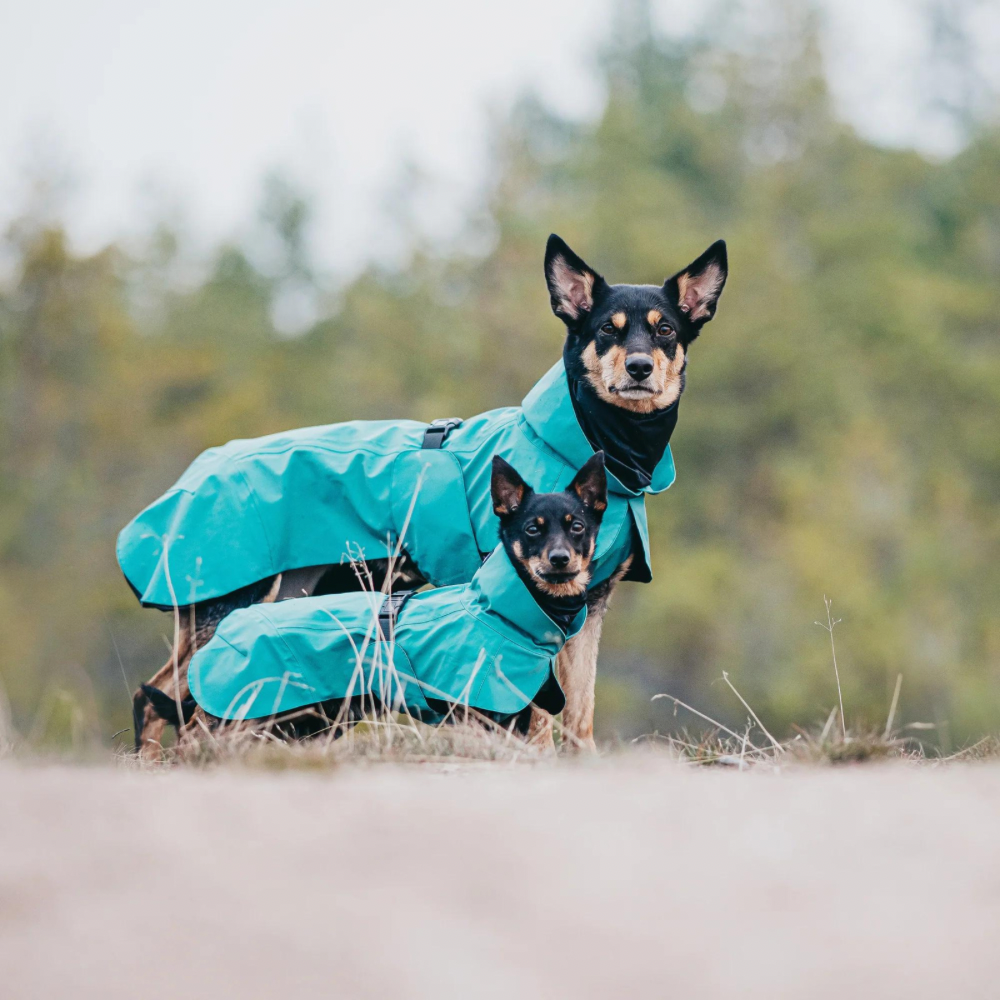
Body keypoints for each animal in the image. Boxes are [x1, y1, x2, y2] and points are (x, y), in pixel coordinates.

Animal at [133, 234, 728, 752]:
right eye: (607, 328)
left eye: (666, 331)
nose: (640, 368)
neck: (589, 443)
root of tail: (193, 473)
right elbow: (538, 714)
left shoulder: (590, 606)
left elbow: (580, 714)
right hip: (237, 609)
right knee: (169, 699)